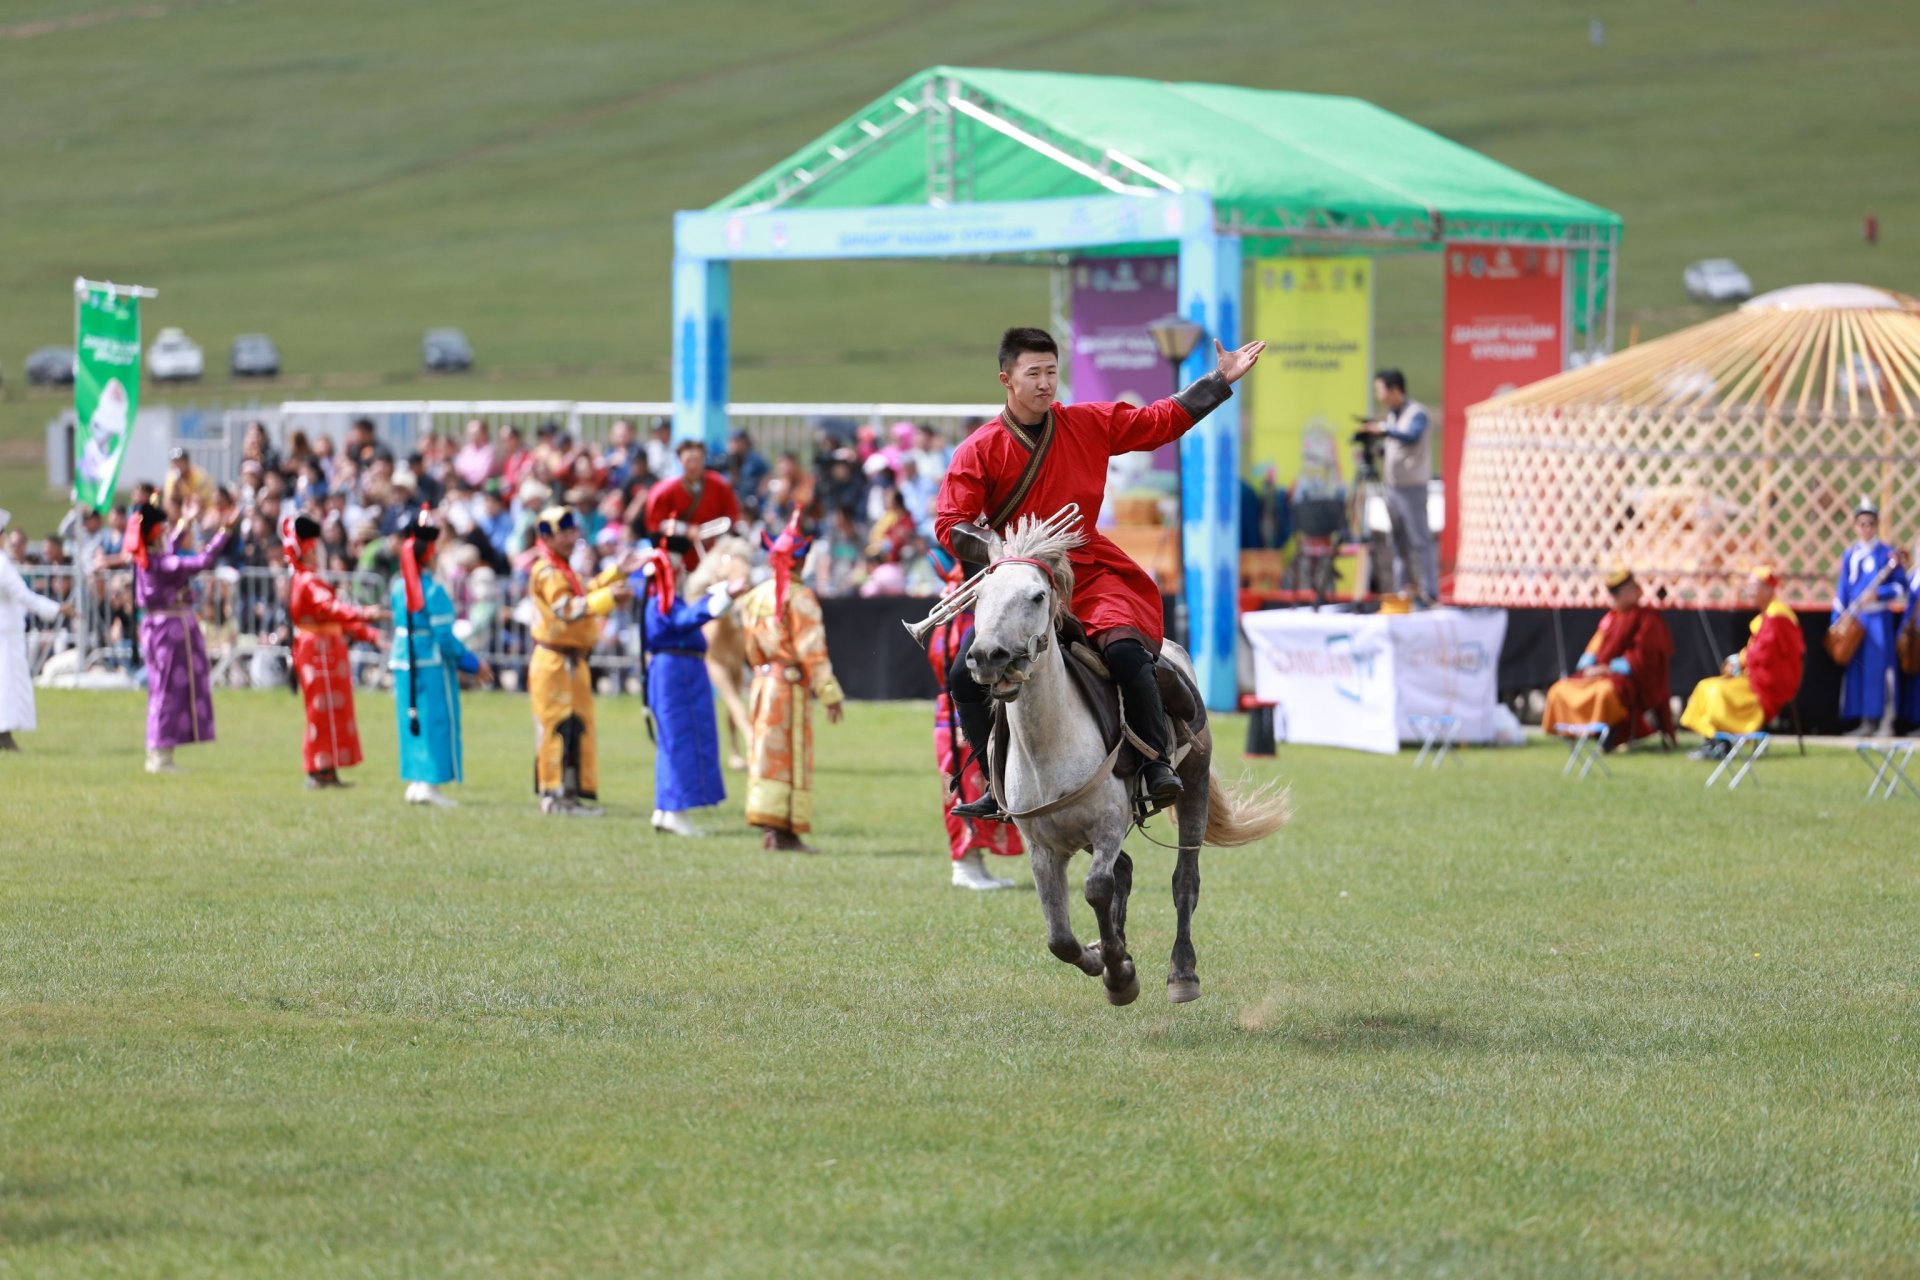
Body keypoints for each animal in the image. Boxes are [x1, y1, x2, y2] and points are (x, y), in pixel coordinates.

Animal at [960, 514, 1290, 1005]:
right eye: (979, 595)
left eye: (1037, 596)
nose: (987, 656)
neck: (1048, 744)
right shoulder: (1042, 847)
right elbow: (1059, 936)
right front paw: (1102, 957)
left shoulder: (1108, 824)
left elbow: (1098, 888)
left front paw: (1119, 974)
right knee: (1128, 871)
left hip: (1193, 782)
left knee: (1183, 881)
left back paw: (1182, 973)